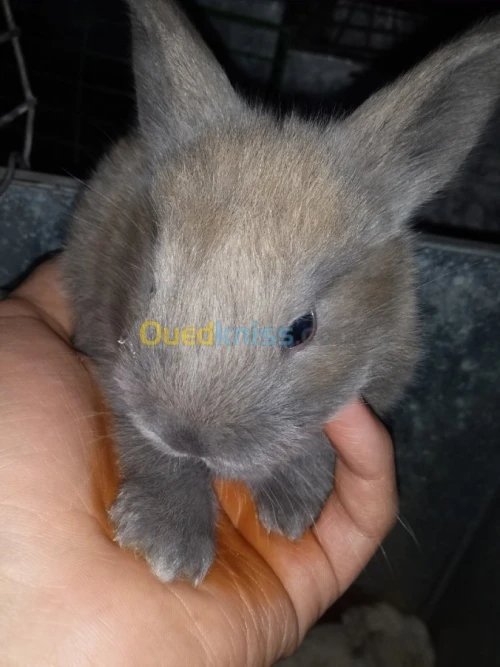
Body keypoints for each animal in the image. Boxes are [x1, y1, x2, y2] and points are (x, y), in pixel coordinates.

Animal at [61, 0, 500, 583]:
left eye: (302, 330)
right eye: (152, 286)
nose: (186, 435)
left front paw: (296, 509)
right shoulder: (111, 358)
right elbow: (143, 442)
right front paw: (168, 547)